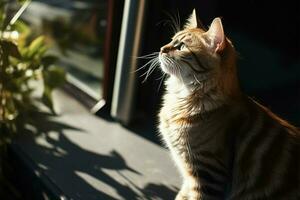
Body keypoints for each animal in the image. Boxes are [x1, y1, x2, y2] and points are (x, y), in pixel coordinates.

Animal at [156, 9, 298, 200]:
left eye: (181, 47)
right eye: (171, 40)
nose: (161, 49)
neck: (182, 99)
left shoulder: (206, 176)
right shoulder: (189, 178)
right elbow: (181, 196)